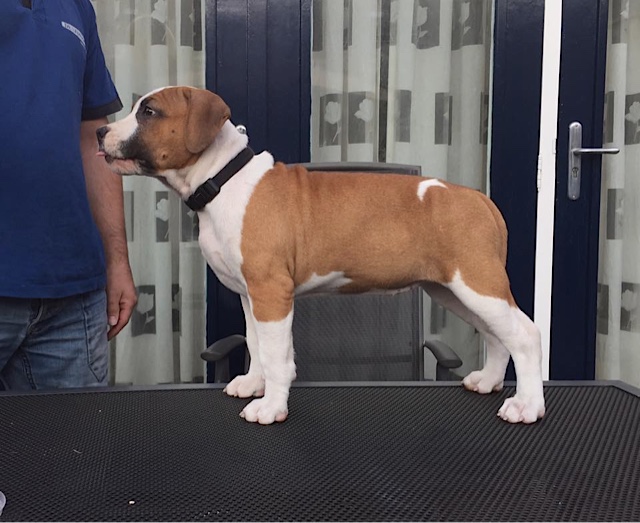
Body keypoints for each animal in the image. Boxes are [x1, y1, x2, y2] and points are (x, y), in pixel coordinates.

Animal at [97, 86, 545, 425]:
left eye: (149, 112)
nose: (99, 131)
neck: (223, 179)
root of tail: (480, 200)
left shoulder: (272, 292)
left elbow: (276, 355)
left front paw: (271, 407)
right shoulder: (251, 295)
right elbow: (256, 345)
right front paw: (253, 385)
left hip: (477, 283)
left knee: (524, 334)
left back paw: (527, 405)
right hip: (454, 289)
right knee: (497, 334)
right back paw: (488, 380)